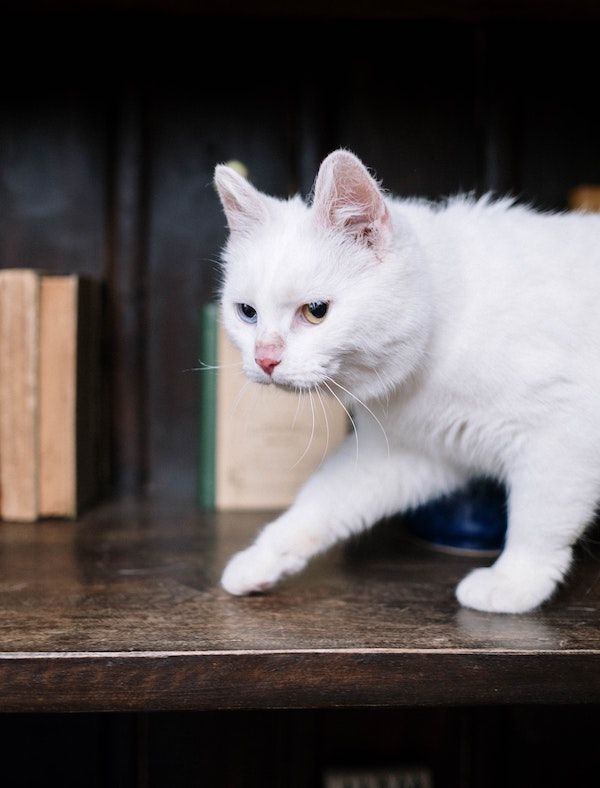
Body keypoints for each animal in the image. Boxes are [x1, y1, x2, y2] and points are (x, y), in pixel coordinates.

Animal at [213, 151, 600, 612]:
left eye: (316, 311)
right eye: (247, 313)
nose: (265, 358)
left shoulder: (562, 438)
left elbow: (538, 519)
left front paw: (515, 583)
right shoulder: (410, 452)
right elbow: (321, 503)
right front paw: (262, 557)